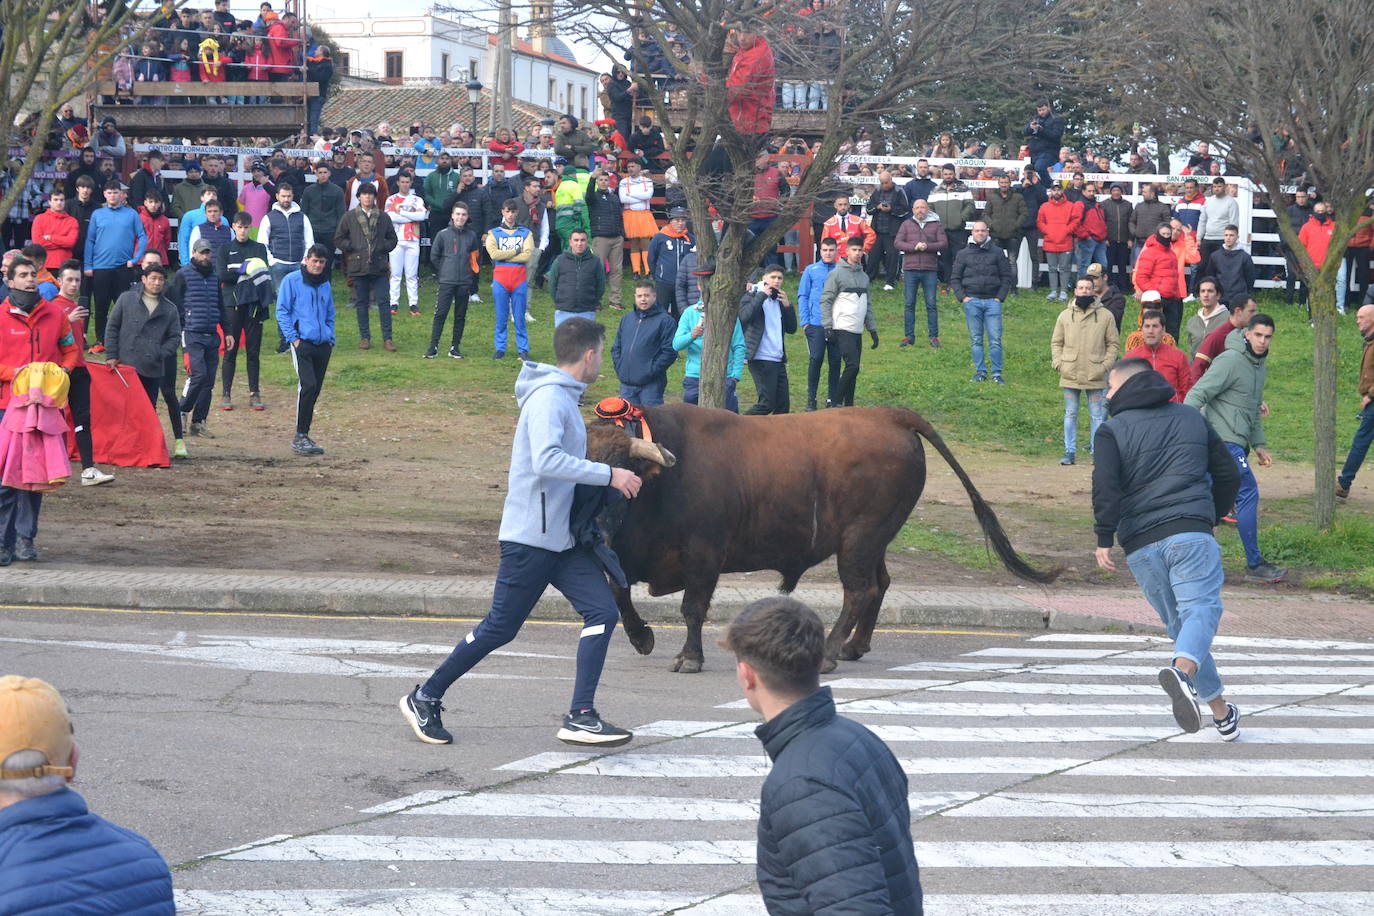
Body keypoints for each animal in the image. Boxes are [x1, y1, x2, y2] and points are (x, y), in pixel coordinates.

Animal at [585, 401, 1055, 672]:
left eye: (620, 475)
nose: (594, 531)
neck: (662, 482)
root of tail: (890, 415)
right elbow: (619, 594)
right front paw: (642, 637)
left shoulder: (704, 554)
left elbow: (692, 608)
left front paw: (689, 657)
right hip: (874, 540)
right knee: (880, 584)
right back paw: (854, 647)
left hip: (859, 539)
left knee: (860, 590)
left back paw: (830, 652)